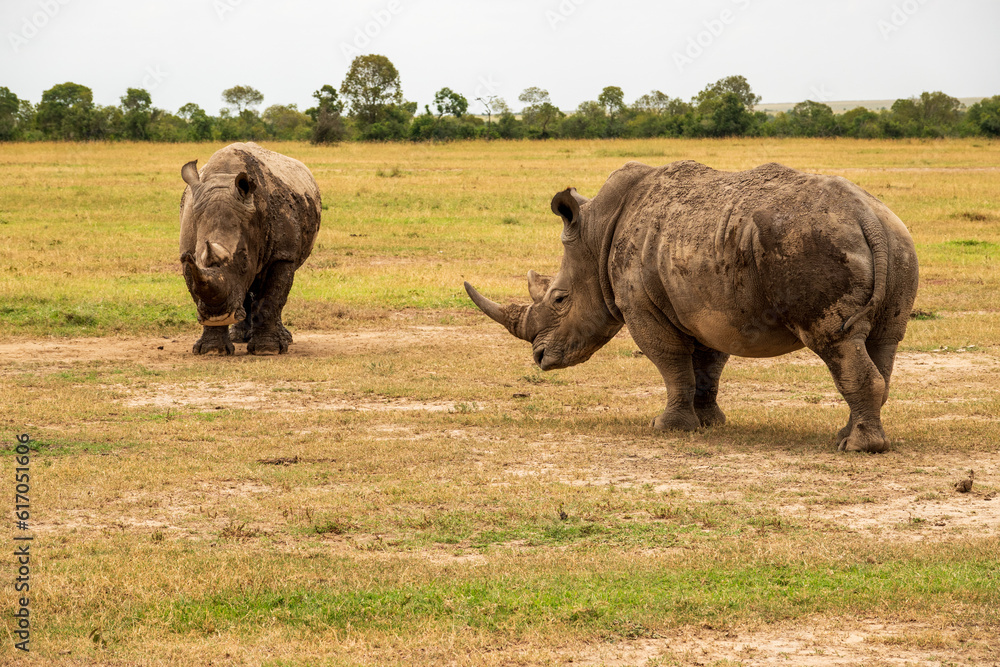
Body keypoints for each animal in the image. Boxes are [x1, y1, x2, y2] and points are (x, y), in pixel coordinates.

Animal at [179, 142, 320, 355]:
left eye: (245, 259)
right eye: (194, 257)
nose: (218, 316)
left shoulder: (283, 255)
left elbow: (273, 297)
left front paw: (267, 350)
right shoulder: (186, 256)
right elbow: (198, 290)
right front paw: (213, 350)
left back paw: (284, 339)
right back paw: (239, 338)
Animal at [466, 161, 919, 453]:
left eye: (559, 299)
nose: (539, 357)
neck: (596, 234)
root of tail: (866, 215)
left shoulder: (642, 305)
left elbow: (670, 361)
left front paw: (667, 428)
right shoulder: (711, 307)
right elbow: (707, 365)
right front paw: (709, 423)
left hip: (812, 243)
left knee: (835, 341)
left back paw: (857, 447)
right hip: (898, 241)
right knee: (881, 342)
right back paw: (847, 437)